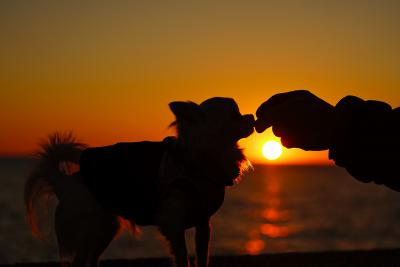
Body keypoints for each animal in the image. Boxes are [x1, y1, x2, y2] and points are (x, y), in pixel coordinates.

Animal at [25, 98, 255, 267]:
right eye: (234, 115)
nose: (250, 116)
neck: (198, 162)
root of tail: (63, 182)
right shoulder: (173, 224)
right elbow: (182, 257)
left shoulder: (203, 223)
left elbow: (202, 257)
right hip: (91, 227)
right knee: (79, 262)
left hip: (105, 227)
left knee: (90, 259)